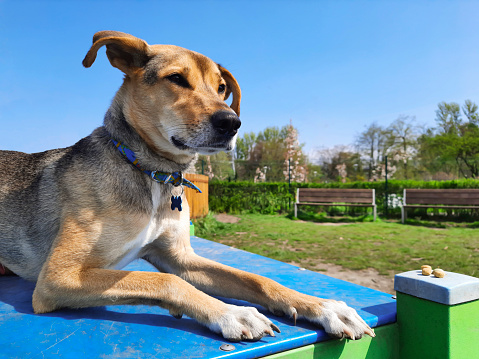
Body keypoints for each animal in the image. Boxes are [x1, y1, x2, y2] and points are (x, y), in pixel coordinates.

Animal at [0, 31, 376, 344]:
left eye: (222, 88)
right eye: (176, 79)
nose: (231, 122)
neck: (153, 174)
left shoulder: (179, 257)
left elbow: (256, 279)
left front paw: (325, 307)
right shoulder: (59, 277)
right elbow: (164, 281)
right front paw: (232, 313)